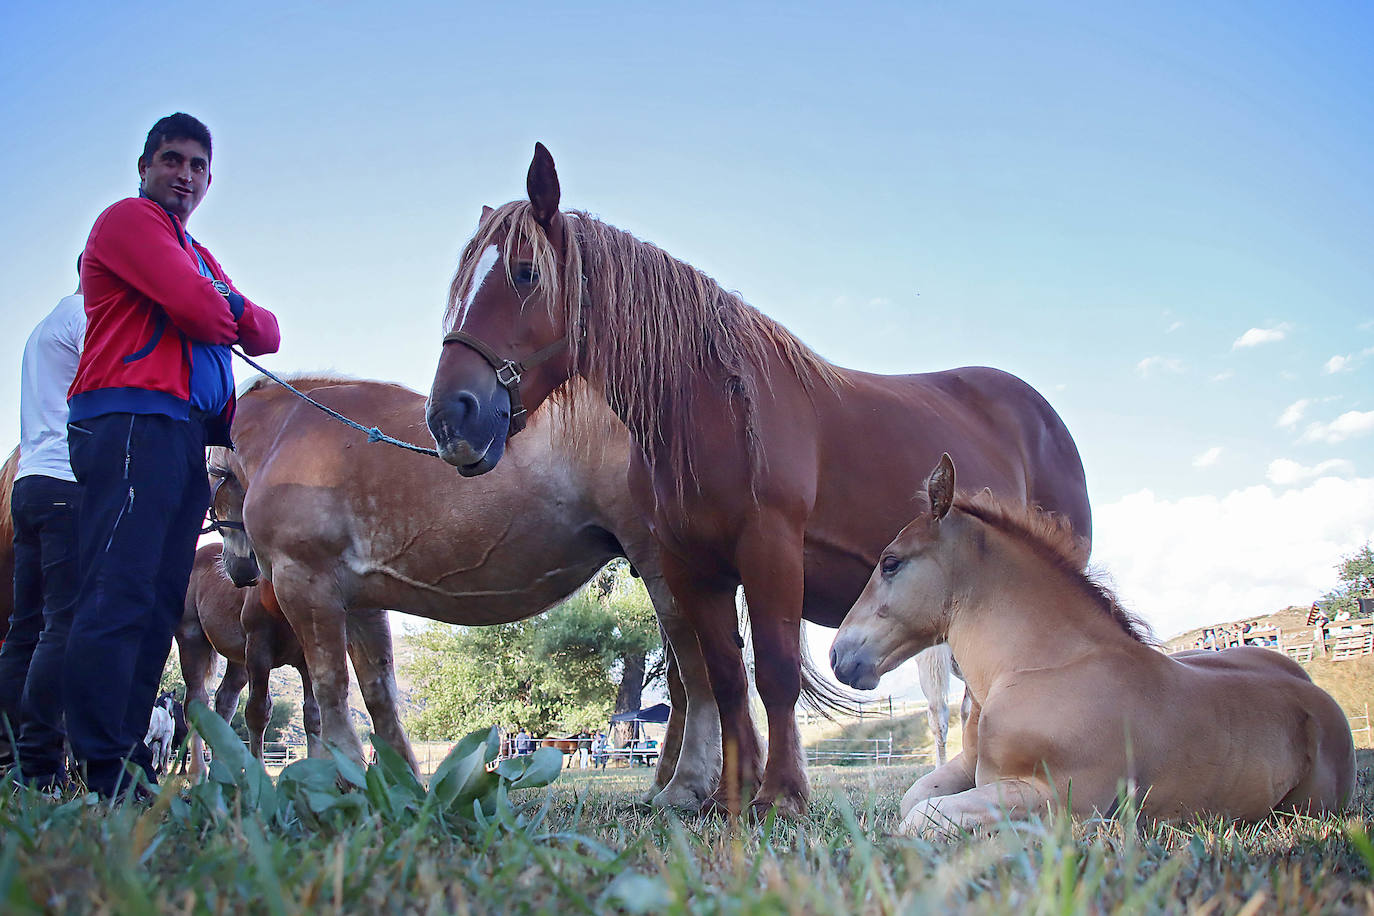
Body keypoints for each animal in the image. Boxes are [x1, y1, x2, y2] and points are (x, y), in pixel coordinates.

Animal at [171, 543, 318, 774]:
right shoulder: (258, 651)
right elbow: (258, 712)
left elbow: (313, 716)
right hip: (192, 640)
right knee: (196, 701)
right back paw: (198, 773)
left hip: (239, 660)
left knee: (224, 701)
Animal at [212, 376, 725, 807]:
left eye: (215, 476)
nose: (237, 570)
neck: (287, 435)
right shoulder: (361, 605)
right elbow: (379, 694)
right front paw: (402, 782)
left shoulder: (306, 585)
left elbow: (330, 686)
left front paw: (349, 776)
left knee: (699, 675)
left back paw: (688, 786)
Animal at [423, 143, 1088, 818]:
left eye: (525, 273)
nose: (451, 416)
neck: (711, 405)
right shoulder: (693, 568)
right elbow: (723, 676)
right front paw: (730, 794)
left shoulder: (770, 551)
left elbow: (774, 670)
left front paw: (782, 794)